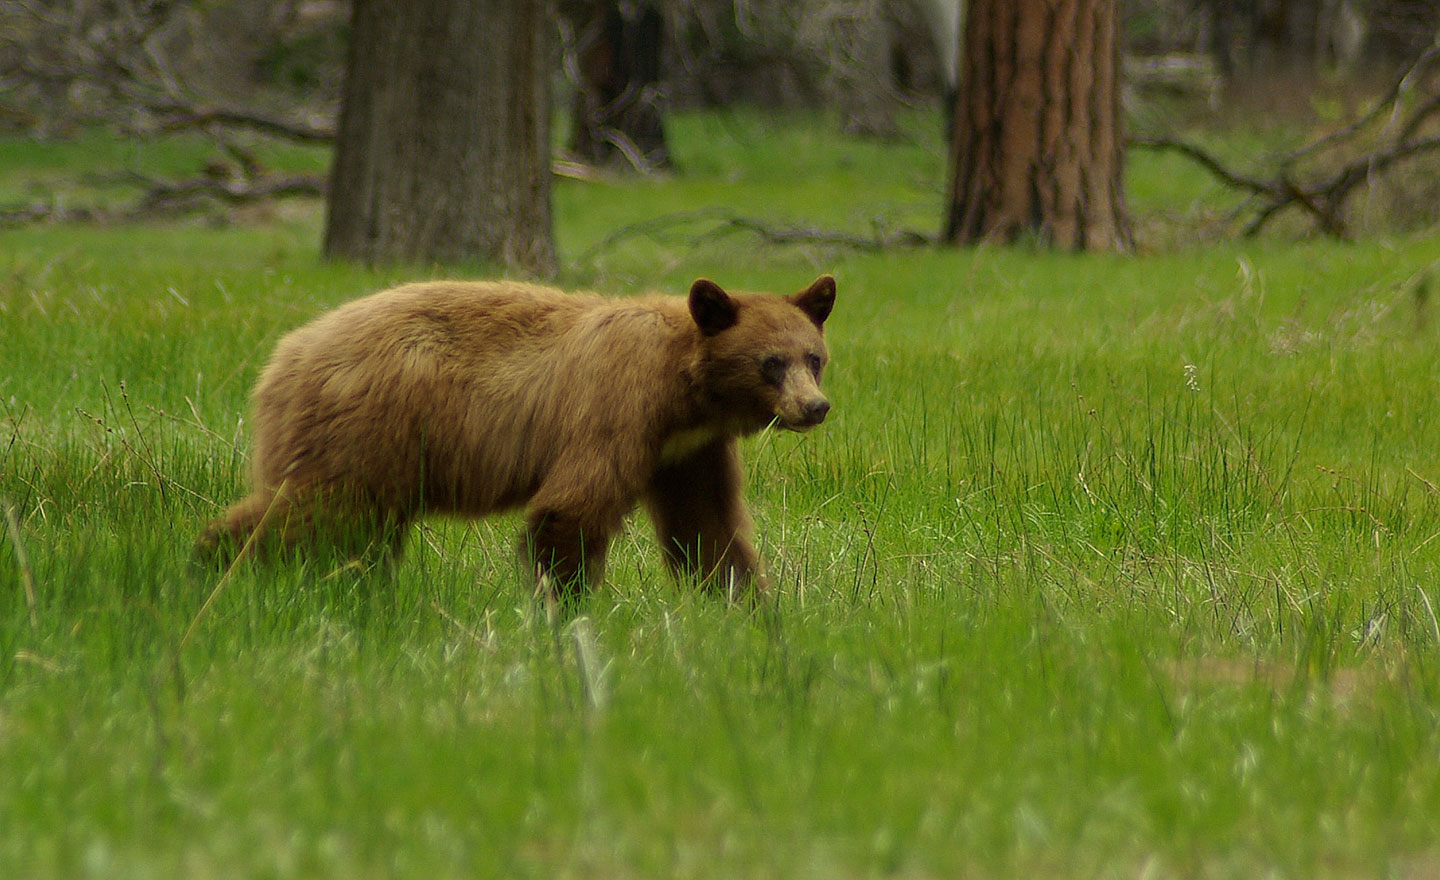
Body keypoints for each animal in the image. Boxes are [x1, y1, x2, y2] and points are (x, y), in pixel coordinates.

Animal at [197, 275, 840, 604]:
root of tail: (282, 359)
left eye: (814, 357)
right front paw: (566, 608)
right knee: (313, 509)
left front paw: (748, 607)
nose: (815, 407)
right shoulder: (617, 407)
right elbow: (571, 507)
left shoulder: (689, 451)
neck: (683, 389)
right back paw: (210, 566)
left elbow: (707, 527)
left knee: (356, 530)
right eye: (771, 363)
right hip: (365, 429)